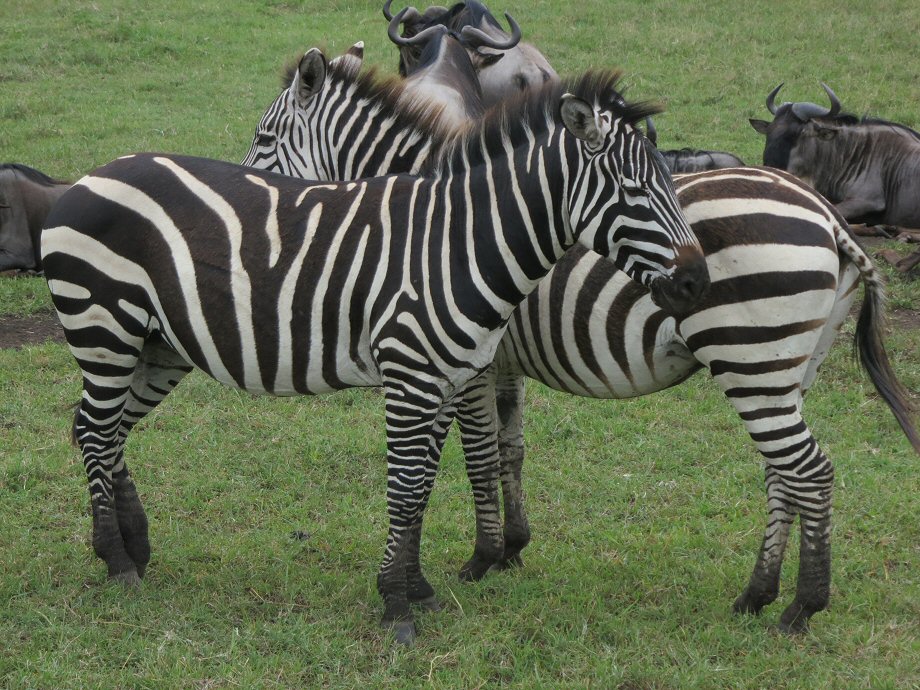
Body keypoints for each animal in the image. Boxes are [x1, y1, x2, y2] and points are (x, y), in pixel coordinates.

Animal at [39, 68, 708, 640]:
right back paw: (118, 561)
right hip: (105, 325)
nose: (697, 283)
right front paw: (397, 603)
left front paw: (420, 588)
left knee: (105, 430)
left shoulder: (450, 377)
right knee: (95, 431)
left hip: (158, 345)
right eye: (633, 191)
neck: (460, 242)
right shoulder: (415, 376)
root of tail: (93, 175)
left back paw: (135, 546)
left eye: (670, 188)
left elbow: (430, 482)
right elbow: (415, 483)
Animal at [239, 47, 920, 628]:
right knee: (784, 472)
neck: (436, 224)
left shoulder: (465, 362)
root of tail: (829, 217)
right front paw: (512, 547)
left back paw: (802, 606)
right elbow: (508, 448)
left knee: (808, 469)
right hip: (788, 366)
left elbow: (470, 454)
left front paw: (478, 558)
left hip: (751, 358)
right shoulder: (500, 362)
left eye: (263, 140)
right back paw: (757, 594)